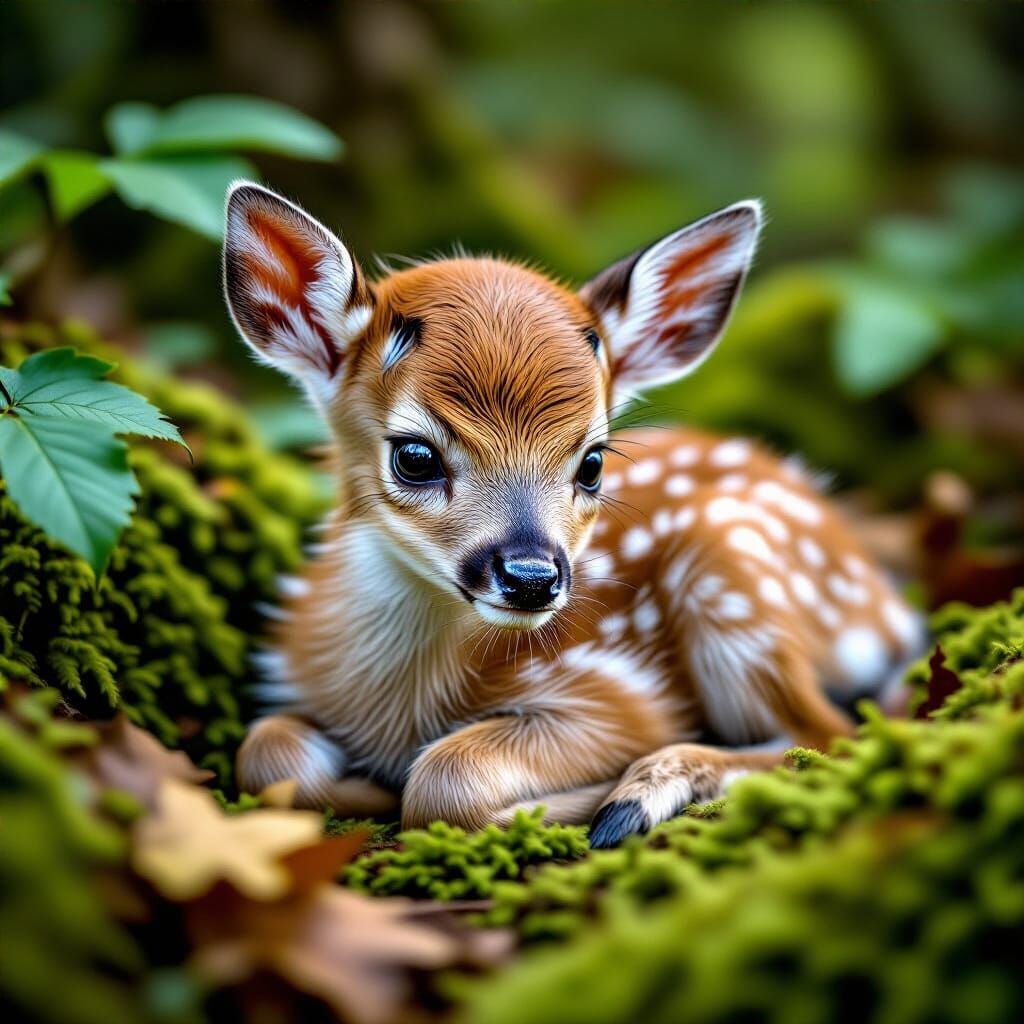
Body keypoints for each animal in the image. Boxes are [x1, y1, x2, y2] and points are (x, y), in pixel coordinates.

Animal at [223, 182, 925, 848]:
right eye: (414, 456)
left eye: (591, 462)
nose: (532, 578)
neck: (395, 705)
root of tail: (885, 604)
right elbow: (265, 751)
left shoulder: (620, 692)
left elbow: (443, 779)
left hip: (733, 564)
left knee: (826, 732)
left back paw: (632, 800)